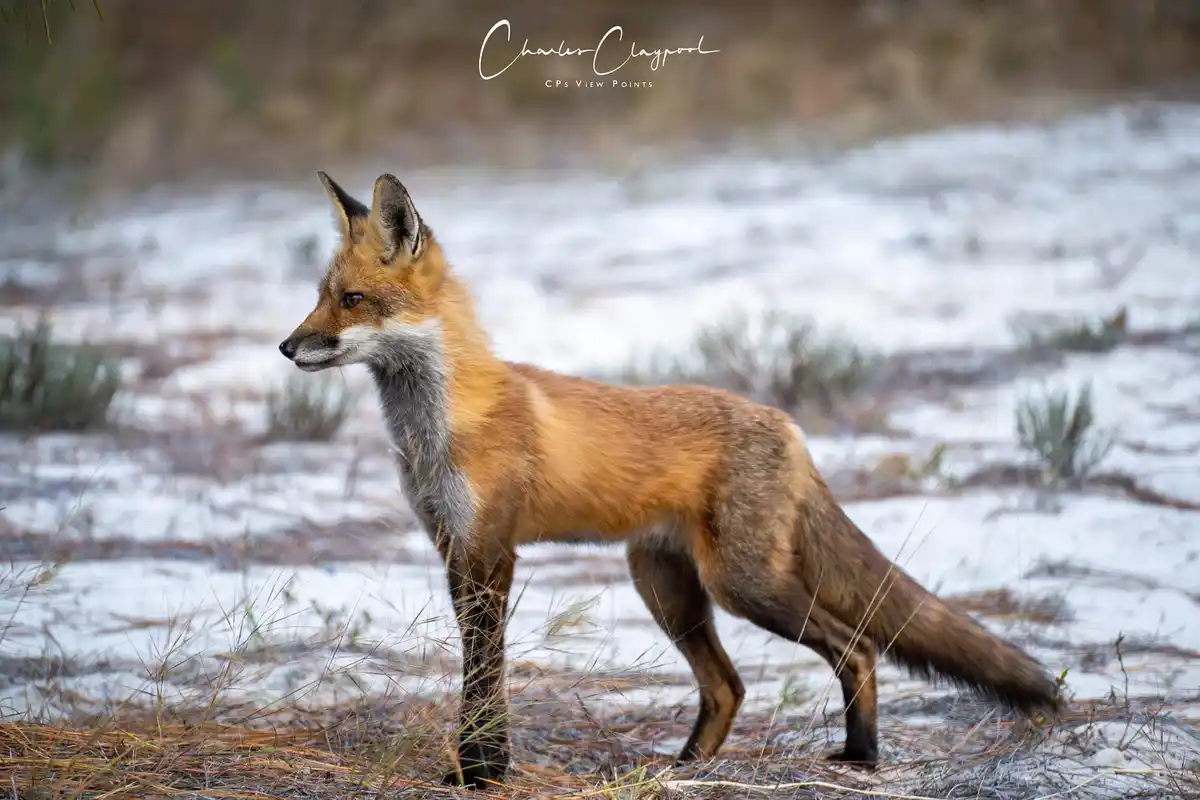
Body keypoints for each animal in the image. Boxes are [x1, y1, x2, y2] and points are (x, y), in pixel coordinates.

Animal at [279, 171, 1062, 789]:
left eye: (353, 300)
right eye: (320, 295)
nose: (287, 346)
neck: (437, 427)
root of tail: (787, 424)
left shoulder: (491, 553)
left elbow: (484, 677)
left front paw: (483, 773)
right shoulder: (453, 548)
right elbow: (477, 676)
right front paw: (475, 767)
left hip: (743, 585)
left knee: (857, 647)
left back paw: (859, 756)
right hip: (667, 588)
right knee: (729, 686)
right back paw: (685, 769)